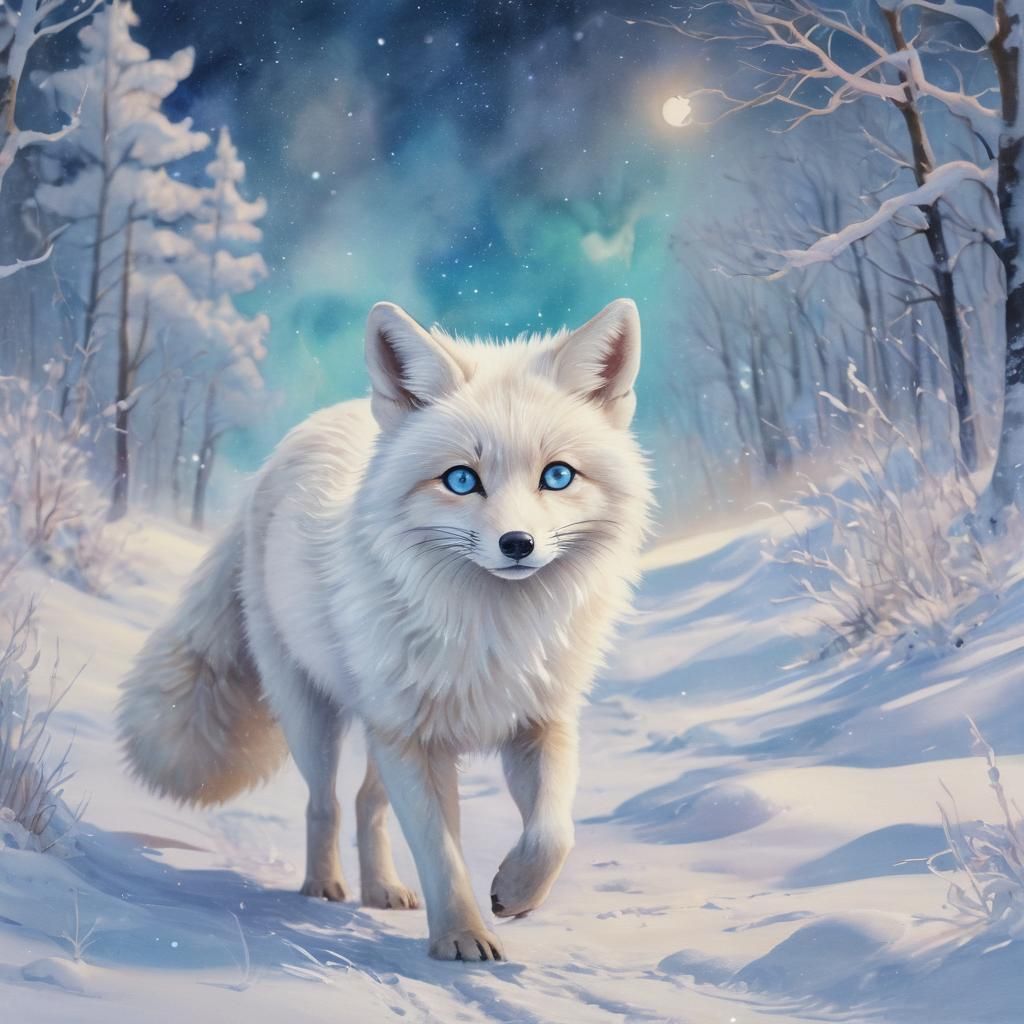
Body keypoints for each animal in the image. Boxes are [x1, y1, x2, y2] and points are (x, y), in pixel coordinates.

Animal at [116, 297, 653, 961]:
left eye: (557, 476)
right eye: (461, 480)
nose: (517, 545)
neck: (491, 632)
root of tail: (277, 458)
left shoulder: (539, 723)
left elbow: (554, 833)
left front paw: (515, 894)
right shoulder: (413, 740)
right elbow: (442, 855)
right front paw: (462, 939)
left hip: (381, 727)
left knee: (366, 802)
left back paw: (381, 890)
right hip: (315, 718)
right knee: (325, 802)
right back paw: (323, 886)